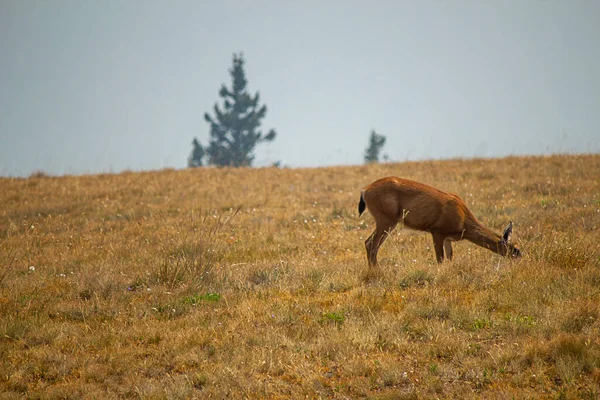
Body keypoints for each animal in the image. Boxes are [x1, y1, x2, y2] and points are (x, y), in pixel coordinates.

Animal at [358, 177, 524, 266]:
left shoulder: (448, 238)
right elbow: (440, 259)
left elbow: (450, 258)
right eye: (510, 247)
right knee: (371, 243)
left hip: (387, 221)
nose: (520, 255)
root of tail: (365, 190)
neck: (463, 221)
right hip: (386, 219)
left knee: (370, 243)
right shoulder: (437, 231)